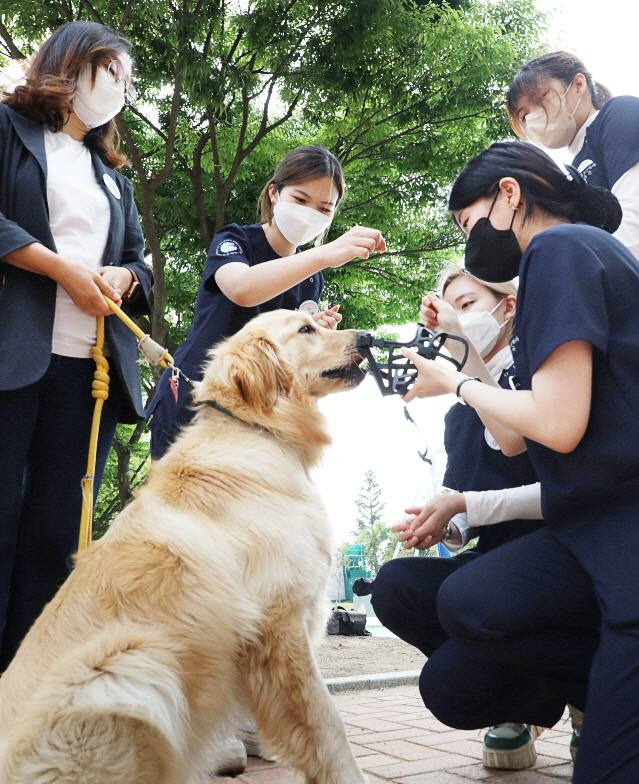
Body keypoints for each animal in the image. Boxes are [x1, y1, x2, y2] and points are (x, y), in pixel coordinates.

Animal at [0, 310, 370, 784]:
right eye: (306, 330)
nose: (367, 337)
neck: (254, 429)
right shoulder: (280, 623)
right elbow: (328, 727)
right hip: (130, 662)